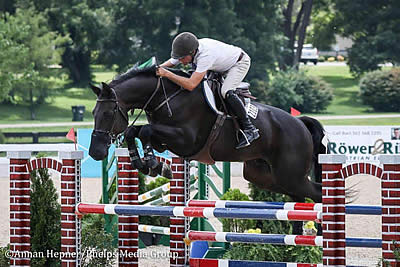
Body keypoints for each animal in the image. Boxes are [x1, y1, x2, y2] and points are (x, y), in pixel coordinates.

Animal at [89, 65, 326, 207]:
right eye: (93, 113)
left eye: (108, 113)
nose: (95, 152)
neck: (166, 97)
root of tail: (300, 124)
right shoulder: (166, 137)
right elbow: (134, 131)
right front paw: (148, 164)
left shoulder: (186, 140)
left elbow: (146, 131)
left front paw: (153, 164)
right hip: (266, 176)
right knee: (298, 199)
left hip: (291, 175)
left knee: (316, 193)